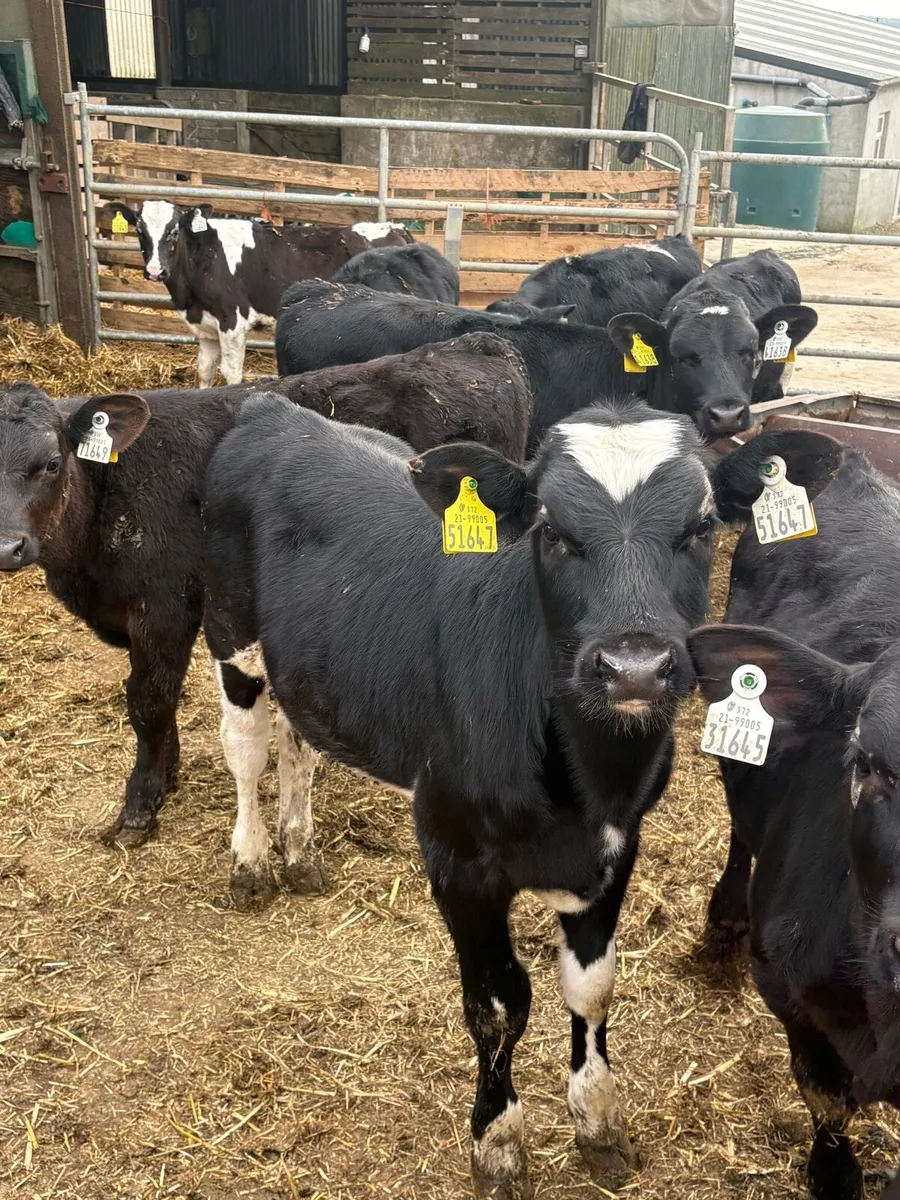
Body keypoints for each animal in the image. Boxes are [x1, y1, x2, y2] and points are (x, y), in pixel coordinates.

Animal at [0, 338, 531, 847]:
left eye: (52, 463)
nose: (7, 545)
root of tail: (479, 343)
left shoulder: (163, 607)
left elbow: (149, 701)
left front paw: (140, 804)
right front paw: (168, 772)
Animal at [106, 200, 377, 387]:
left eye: (173, 231)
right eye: (140, 231)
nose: (154, 270)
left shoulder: (232, 322)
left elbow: (232, 373)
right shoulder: (207, 329)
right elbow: (205, 371)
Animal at [201, 394, 839, 1196]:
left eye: (700, 527)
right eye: (552, 531)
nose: (634, 668)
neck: (583, 780)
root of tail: (274, 405)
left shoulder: (617, 843)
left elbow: (592, 988)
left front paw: (599, 1122)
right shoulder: (454, 851)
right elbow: (499, 1005)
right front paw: (498, 1143)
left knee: (299, 741)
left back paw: (300, 850)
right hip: (231, 637)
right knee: (247, 745)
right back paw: (253, 860)